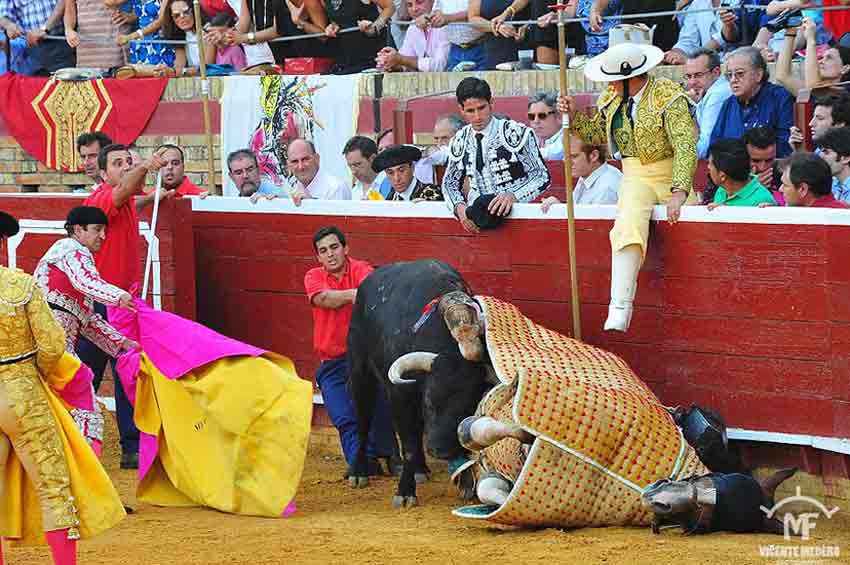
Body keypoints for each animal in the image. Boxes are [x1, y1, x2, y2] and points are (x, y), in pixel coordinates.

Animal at [346, 260, 490, 506]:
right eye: (430, 403)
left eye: (467, 407)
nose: (440, 450)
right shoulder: (400, 395)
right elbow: (410, 446)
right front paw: (404, 492)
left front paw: (466, 485)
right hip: (359, 370)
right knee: (363, 421)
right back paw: (358, 472)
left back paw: (421, 469)